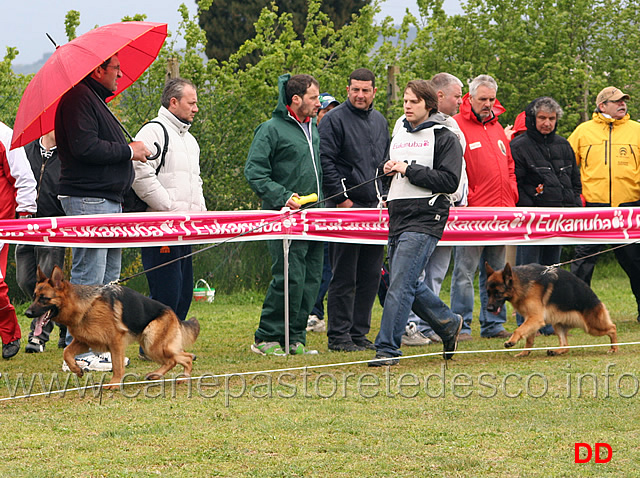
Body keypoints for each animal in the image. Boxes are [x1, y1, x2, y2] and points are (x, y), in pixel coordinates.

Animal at [25, 266, 200, 388]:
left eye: (44, 299)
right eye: (34, 297)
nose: (27, 313)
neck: (86, 307)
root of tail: (172, 312)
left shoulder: (116, 342)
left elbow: (117, 365)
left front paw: (114, 383)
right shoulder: (84, 342)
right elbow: (66, 352)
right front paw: (76, 369)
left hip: (152, 344)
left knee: (184, 357)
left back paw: (184, 377)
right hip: (151, 345)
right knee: (176, 359)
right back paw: (158, 375)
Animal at [488, 264, 616, 356]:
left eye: (498, 293)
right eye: (488, 292)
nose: (488, 309)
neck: (522, 282)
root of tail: (596, 299)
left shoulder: (535, 319)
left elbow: (518, 330)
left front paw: (512, 341)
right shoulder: (531, 319)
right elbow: (529, 339)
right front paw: (525, 353)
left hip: (591, 326)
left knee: (612, 328)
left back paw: (614, 348)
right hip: (558, 325)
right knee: (566, 346)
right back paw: (555, 351)